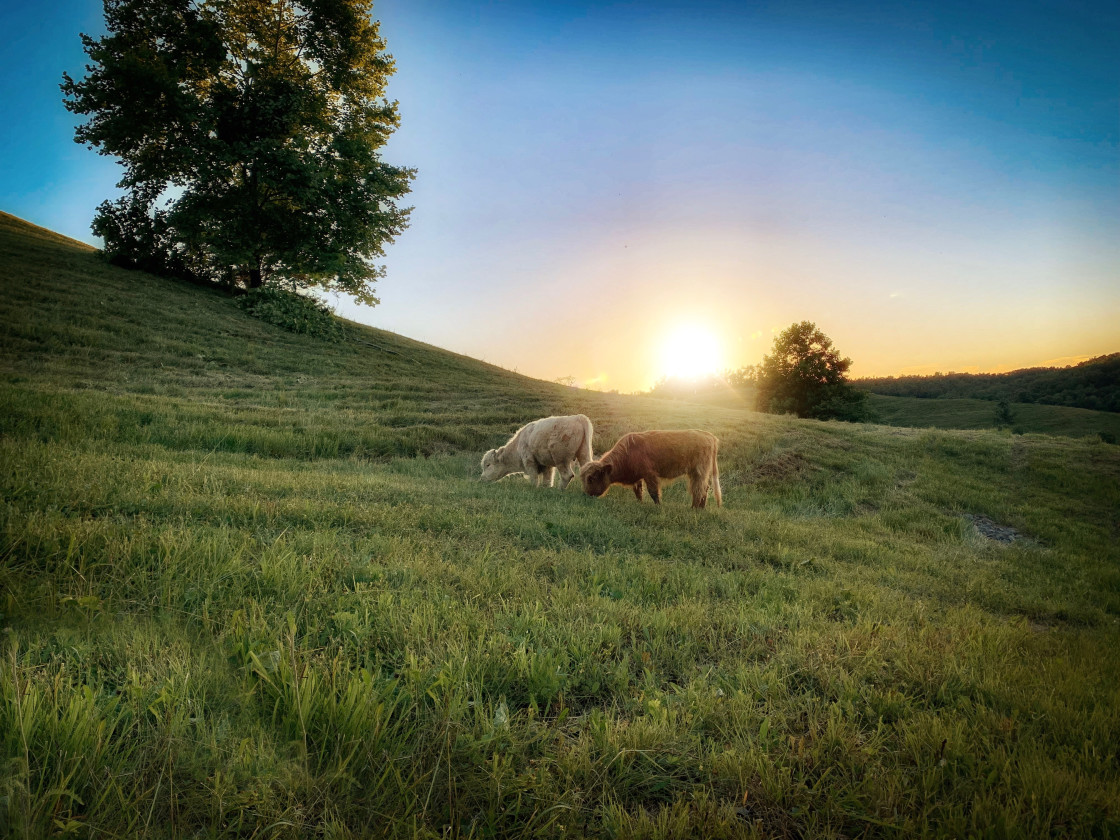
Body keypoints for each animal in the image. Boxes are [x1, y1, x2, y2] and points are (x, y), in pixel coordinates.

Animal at [582, 430, 721, 510]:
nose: (586, 495)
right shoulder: (638, 476)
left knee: (699, 489)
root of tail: (710, 436)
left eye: (591, 479)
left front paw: (658, 506)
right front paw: (640, 503)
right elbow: (638, 491)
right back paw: (701, 508)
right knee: (705, 488)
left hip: (699, 471)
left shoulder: (649, 474)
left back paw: (693, 509)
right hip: (699, 472)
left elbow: (653, 492)